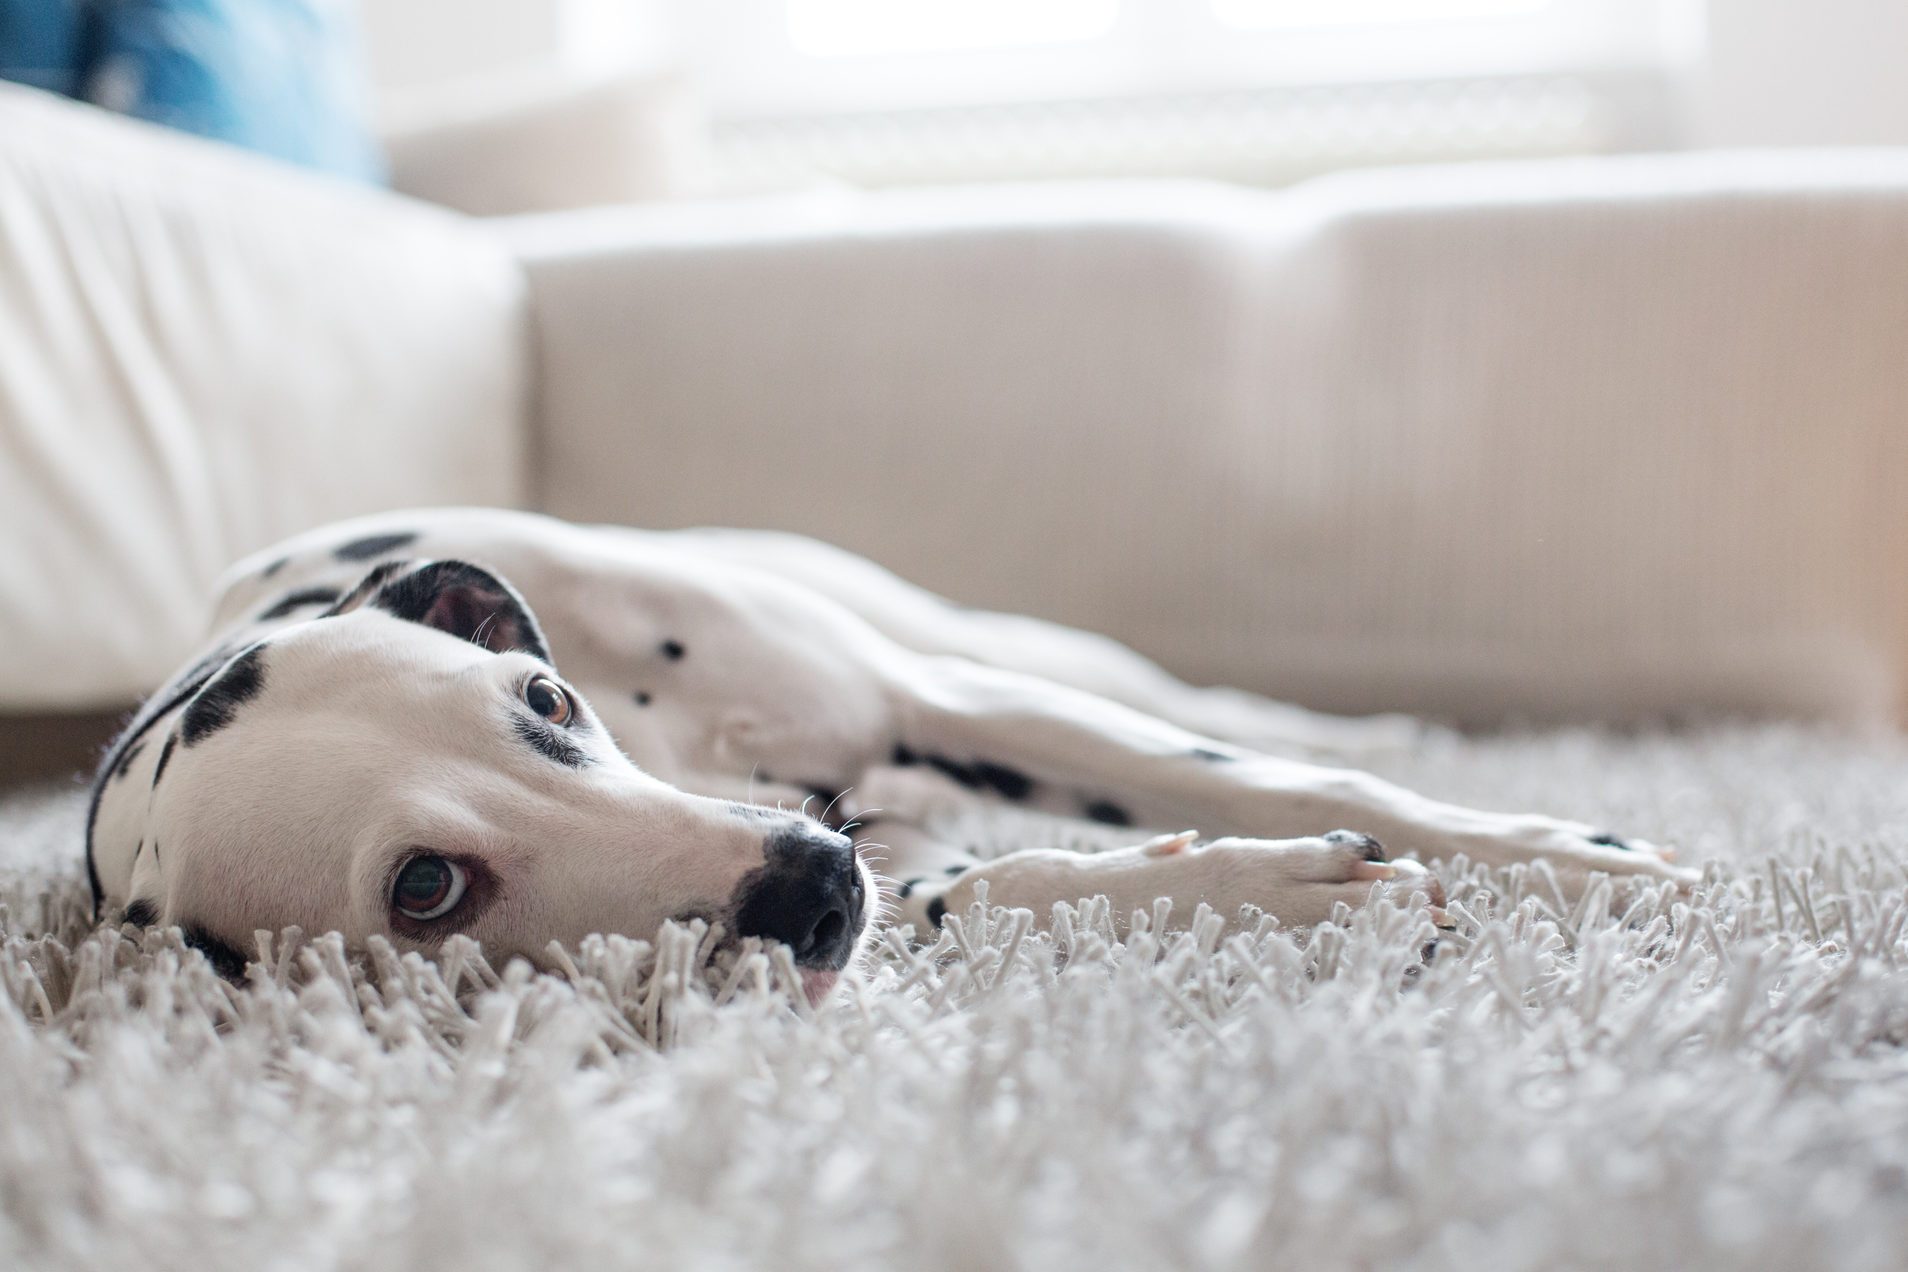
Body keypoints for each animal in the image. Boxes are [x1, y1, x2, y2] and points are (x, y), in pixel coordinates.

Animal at [89, 503, 1701, 991]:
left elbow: (1285, 780)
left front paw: (1577, 865)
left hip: (1002, 649)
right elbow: (998, 885)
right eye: (425, 889)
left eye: (542, 704)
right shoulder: (906, 856)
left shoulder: (938, 704)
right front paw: (1263, 893)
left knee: (1256, 720)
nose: (810, 878)